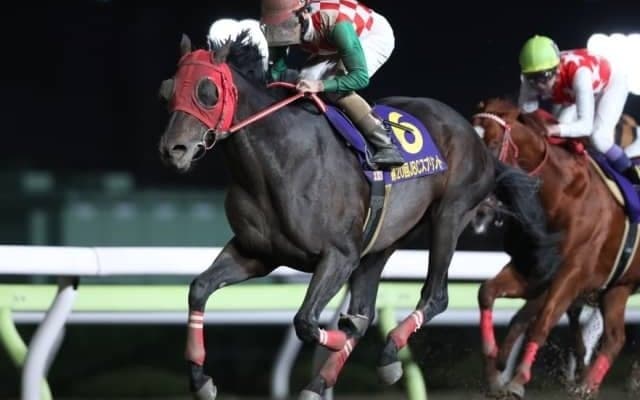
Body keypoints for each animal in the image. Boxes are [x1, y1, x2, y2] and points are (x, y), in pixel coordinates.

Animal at [156, 31, 549, 400]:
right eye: (168, 90)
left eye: (207, 92)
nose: (174, 149)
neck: (277, 162)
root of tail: (477, 140)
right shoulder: (256, 253)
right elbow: (199, 288)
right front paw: (201, 381)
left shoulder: (339, 255)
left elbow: (307, 321)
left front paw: (340, 335)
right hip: (383, 241)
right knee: (366, 306)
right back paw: (334, 378)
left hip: (450, 215)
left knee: (434, 295)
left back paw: (386, 353)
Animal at [471, 97, 640, 399]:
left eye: (493, 144)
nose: (479, 207)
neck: (561, 196)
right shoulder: (533, 269)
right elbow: (487, 293)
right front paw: (494, 372)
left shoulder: (572, 275)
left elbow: (543, 322)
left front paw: (518, 380)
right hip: (619, 287)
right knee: (615, 338)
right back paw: (588, 385)